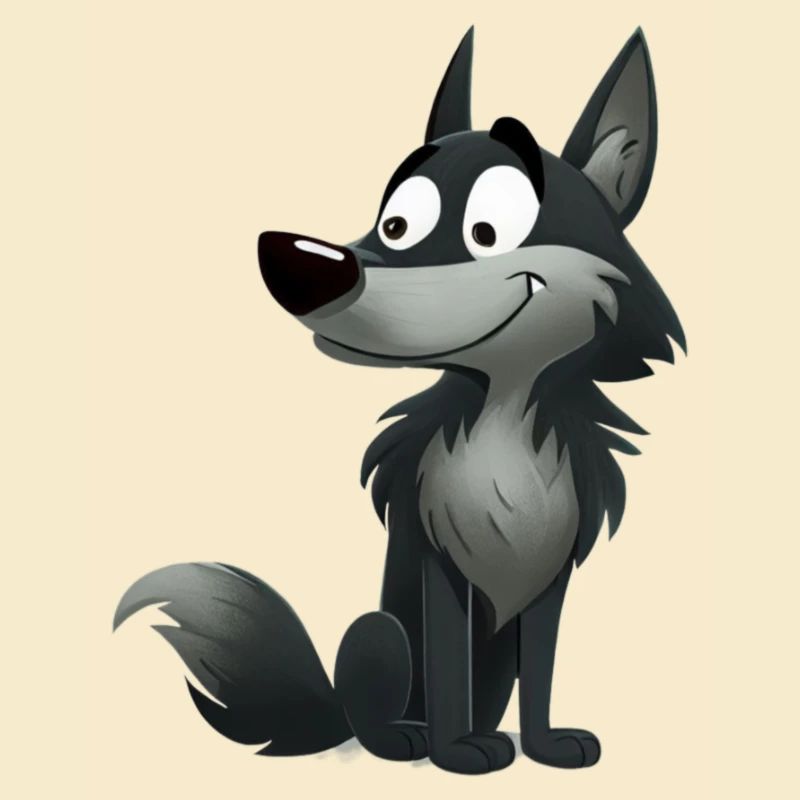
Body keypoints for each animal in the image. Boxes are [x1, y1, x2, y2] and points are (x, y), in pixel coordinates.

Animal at [114, 27, 684, 774]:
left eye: (487, 231)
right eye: (394, 224)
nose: (299, 262)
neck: (502, 418)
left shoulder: (550, 580)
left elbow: (542, 673)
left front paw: (545, 747)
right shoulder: (438, 567)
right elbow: (446, 667)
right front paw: (457, 753)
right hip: (379, 632)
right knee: (375, 705)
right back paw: (404, 736)